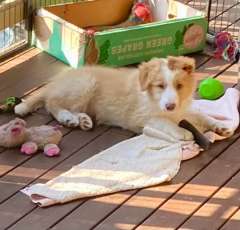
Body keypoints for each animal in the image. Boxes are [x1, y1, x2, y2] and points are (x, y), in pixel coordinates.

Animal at [14, 56, 232, 139]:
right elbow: (162, 121)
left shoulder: (181, 110)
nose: (170, 106)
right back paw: (68, 118)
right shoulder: (139, 117)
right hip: (85, 83)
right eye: (160, 86)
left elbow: (201, 115)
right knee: (52, 103)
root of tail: (57, 80)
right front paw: (183, 132)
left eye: (179, 86)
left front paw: (221, 126)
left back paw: (82, 120)